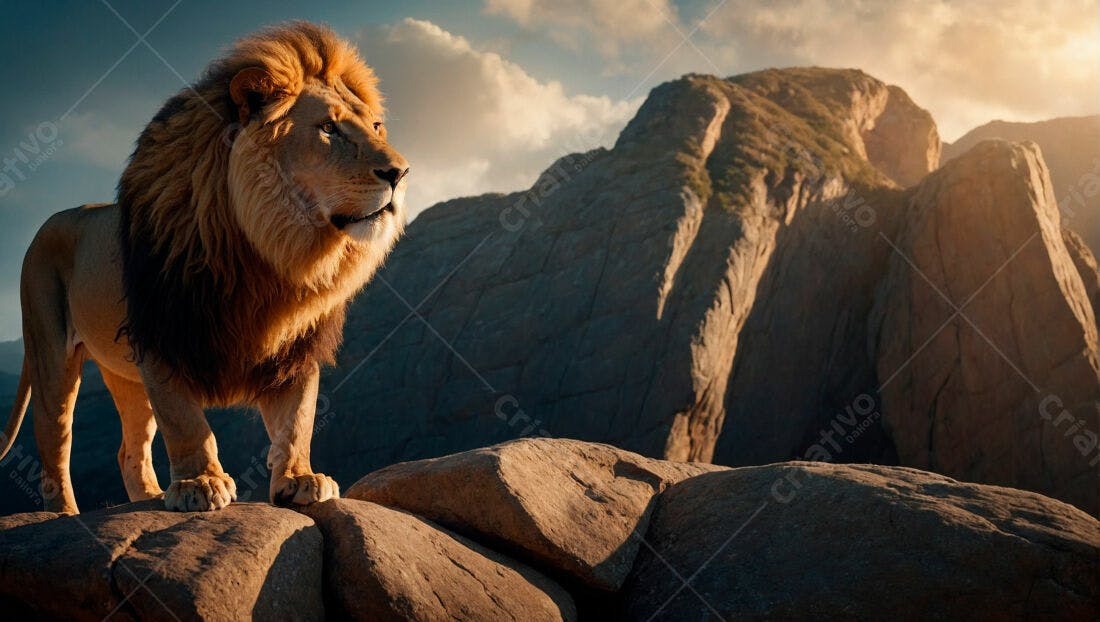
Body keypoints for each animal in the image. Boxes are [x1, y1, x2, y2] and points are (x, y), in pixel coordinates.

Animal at [0, 22, 409, 514]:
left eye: (376, 127)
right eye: (328, 128)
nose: (400, 173)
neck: (273, 253)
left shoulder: (297, 348)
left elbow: (297, 420)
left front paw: (300, 479)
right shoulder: (162, 335)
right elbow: (187, 422)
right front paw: (201, 484)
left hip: (123, 375)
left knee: (129, 450)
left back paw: (151, 497)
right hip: (50, 352)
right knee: (53, 445)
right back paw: (65, 513)